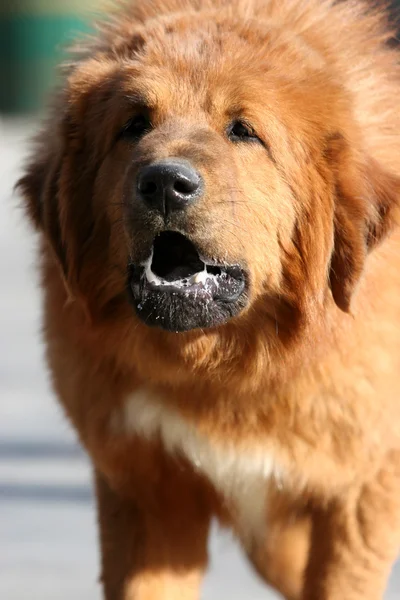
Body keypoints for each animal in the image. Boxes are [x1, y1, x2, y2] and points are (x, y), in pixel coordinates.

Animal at [18, 0, 400, 596]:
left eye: (243, 131)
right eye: (134, 125)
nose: (164, 183)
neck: (227, 373)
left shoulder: (361, 493)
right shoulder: (148, 492)